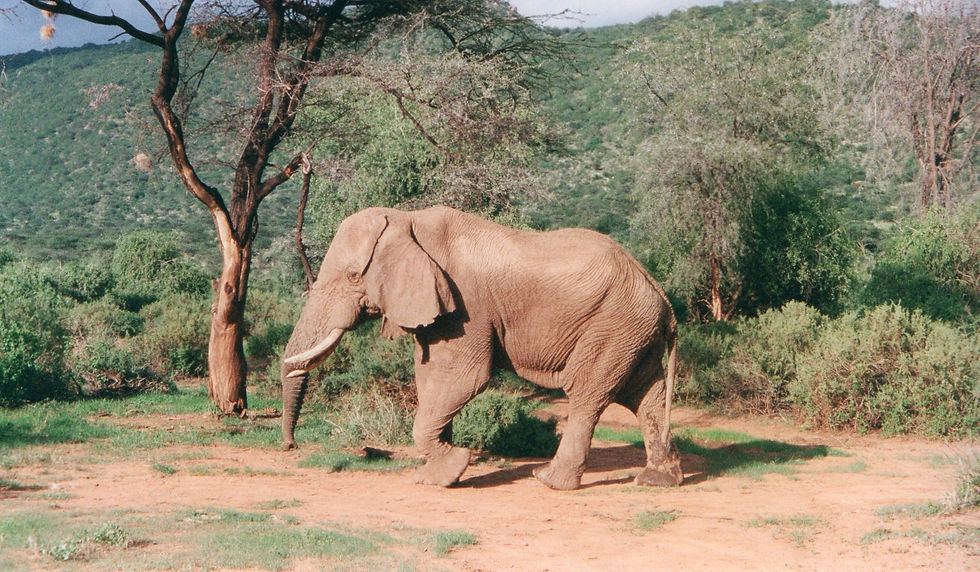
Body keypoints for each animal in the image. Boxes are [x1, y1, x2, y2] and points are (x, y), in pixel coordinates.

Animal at [280, 206, 683, 490]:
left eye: (352, 276)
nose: (290, 447)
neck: (410, 220)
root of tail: (662, 297)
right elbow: (429, 378)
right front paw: (437, 475)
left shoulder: (467, 304)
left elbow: (462, 378)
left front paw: (451, 469)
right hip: (631, 331)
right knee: (645, 395)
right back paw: (660, 480)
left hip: (612, 325)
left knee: (587, 394)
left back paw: (548, 480)